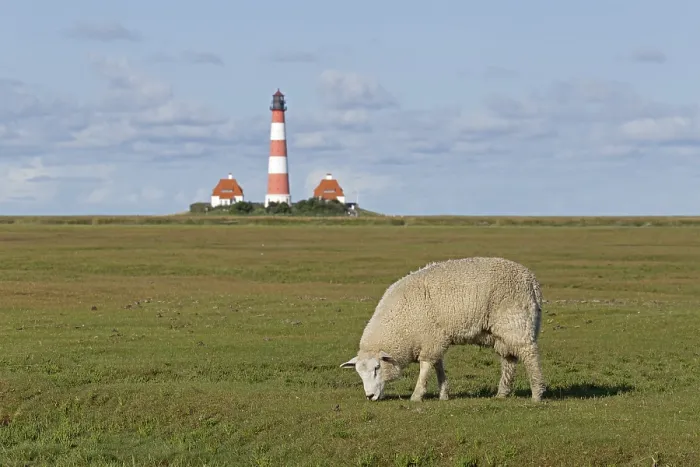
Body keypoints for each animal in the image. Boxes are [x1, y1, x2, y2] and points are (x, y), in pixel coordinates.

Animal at [340, 256, 545, 402]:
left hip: (516, 323)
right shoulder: (435, 339)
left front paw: (417, 396)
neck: (399, 323)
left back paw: (537, 393)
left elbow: (425, 367)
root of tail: (532, 281)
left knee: (529, 354)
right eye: (358, 373)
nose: (369, 397)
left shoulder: (430, 339)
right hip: (502, 332)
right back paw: (502, 393)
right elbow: (438, 366)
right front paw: (444, 394)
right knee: (509, 359)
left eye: (377, 368)